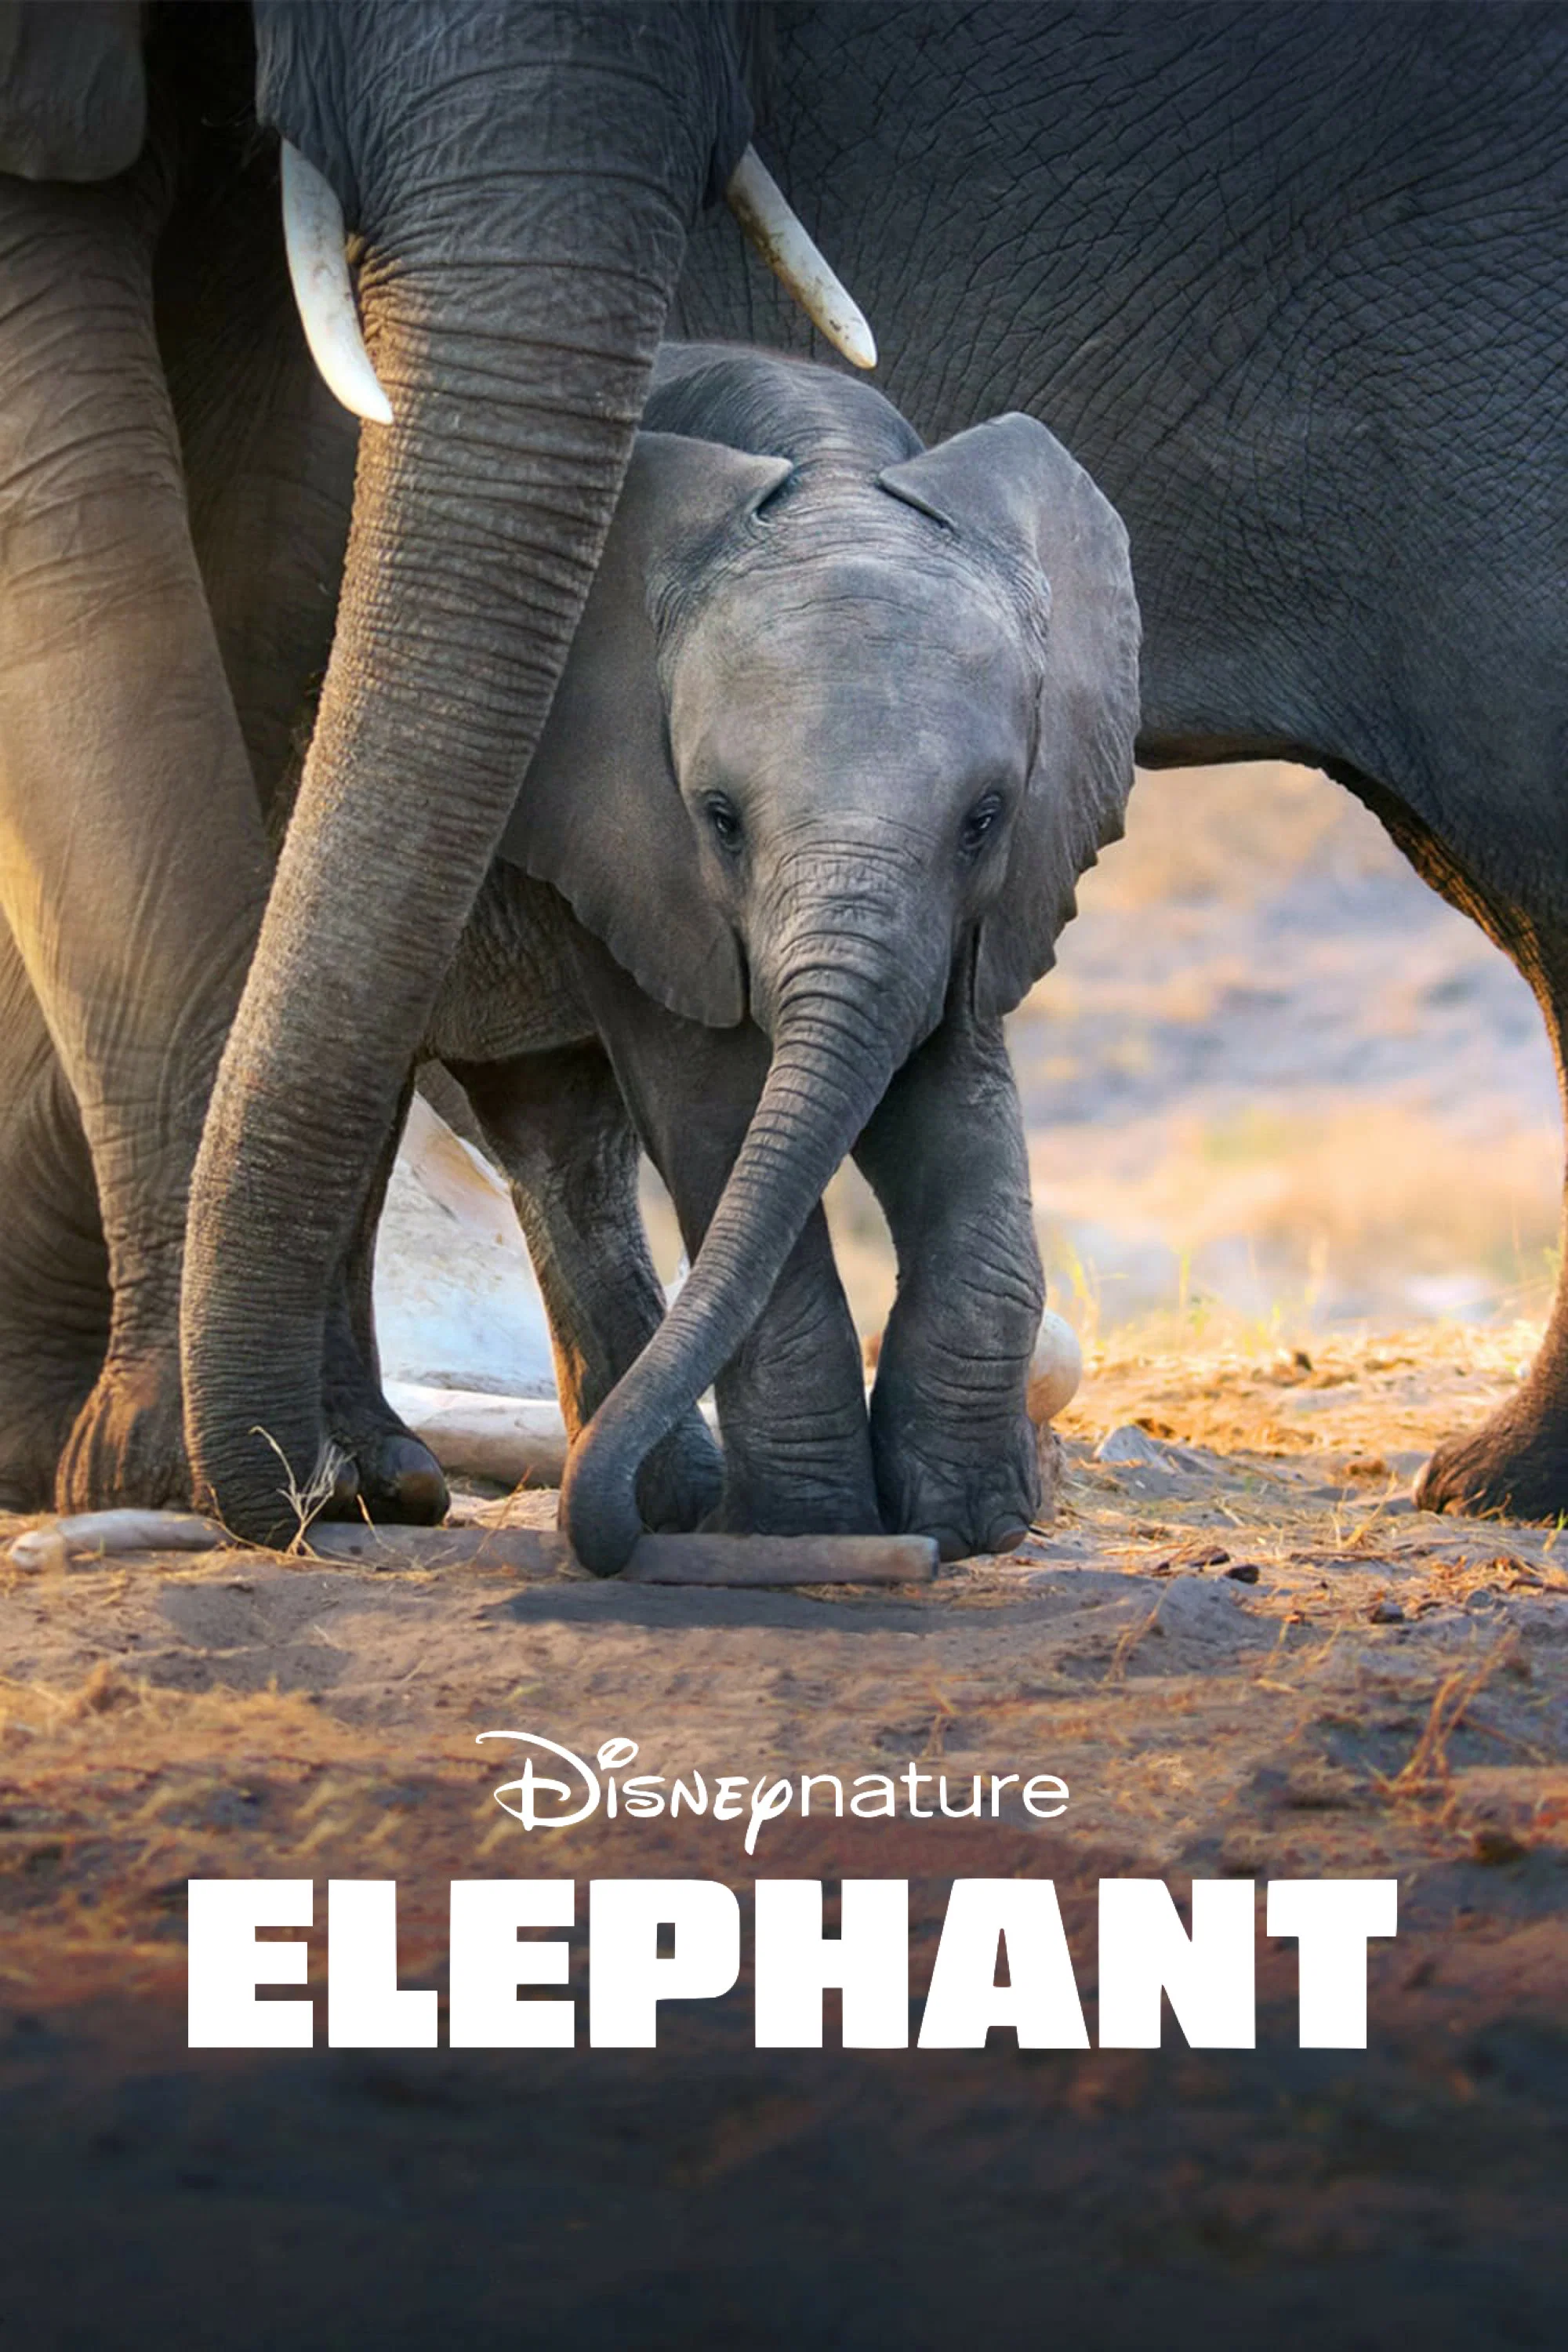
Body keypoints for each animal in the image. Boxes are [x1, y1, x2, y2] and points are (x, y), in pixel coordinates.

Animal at [409, 342, 1138, 1572]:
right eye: (720, 819)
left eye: (984, 818)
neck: (827, 467)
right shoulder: (624, 830)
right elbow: (715, 1108)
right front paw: (812, 1530)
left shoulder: (982, 906)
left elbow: (951, 1098)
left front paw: (970, 1528)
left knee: (554, 1139)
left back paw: (665, 1503)